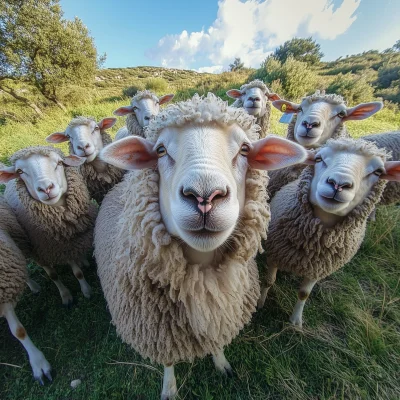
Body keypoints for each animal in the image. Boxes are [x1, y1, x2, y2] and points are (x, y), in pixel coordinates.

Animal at [0, 147, 98, 306]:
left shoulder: (66, 246)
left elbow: (77, 272)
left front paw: (86, 290)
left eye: (60, 162)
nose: (46, 188)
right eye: (20, 171)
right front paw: (66, 295)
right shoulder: (41, 252)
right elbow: (53, 275)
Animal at [94, 92, 306, 398]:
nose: (205, 196)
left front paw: (221, 363)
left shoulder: (220, 314)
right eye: (160, 150)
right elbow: (169, 361)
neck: (200, 279)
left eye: (245, 149)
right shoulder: (161, 333)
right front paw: (169, 388)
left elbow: (217, 341)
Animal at [256, 139, 400, 326]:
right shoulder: (274, 253)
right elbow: (268, 281)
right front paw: (260, 302)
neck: (312, 244)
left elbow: (304, 294)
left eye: (378, 172)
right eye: (319, 159)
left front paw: (296, 321)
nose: (338, 183)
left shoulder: (319, 268)